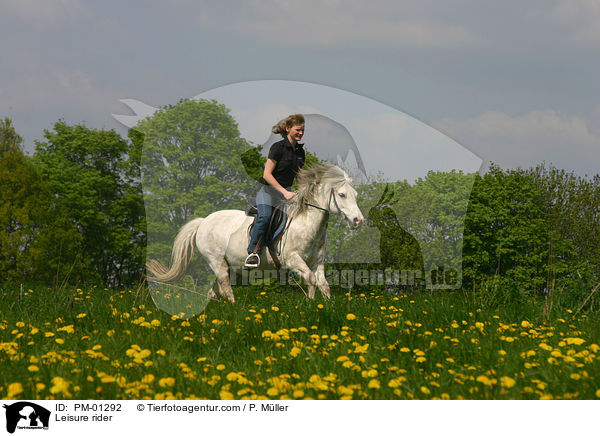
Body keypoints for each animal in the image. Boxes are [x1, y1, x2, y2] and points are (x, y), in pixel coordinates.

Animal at [148, 163, 364, 300]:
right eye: (342, 195)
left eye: (355, 194)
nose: (358, 220)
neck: (306, 222)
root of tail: (203, 222)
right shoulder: (293, 260)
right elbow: (311, 281)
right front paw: (310, 304)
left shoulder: (316, 261)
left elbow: (323, 285)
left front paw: (324, 306)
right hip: (216, 262)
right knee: (226, 289)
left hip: (229, 266)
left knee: (214, 292)